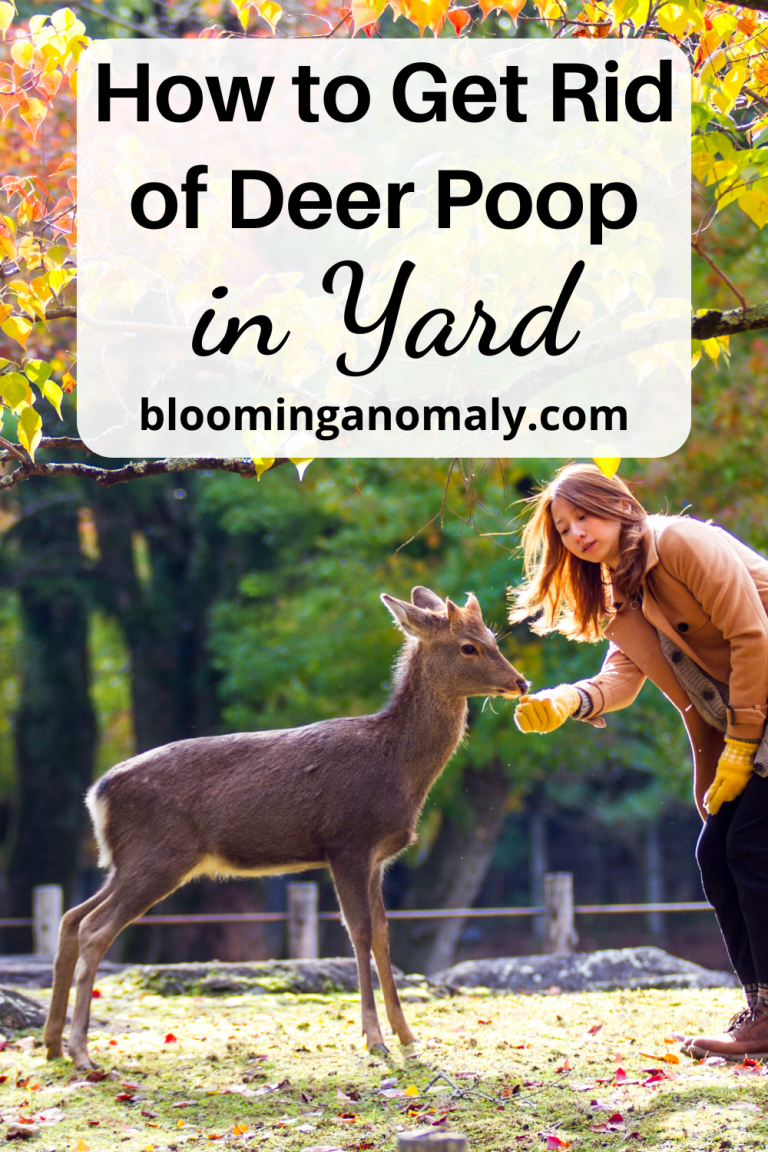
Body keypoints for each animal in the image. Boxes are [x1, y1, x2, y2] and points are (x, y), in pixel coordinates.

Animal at [44, 586, 528, 1069]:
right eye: (468, 647)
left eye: (494, 637)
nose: (521, 682)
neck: (398, 768)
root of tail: (97, 794)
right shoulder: (347, 842)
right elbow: (359, 933)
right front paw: (374, 1039)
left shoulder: (378, 858)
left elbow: (384, 934)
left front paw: (408, 1036)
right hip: (159, 854)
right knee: (95, 928)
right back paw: (82, 1052)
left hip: (127, 861)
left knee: (71, 917)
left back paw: (53, 1044)